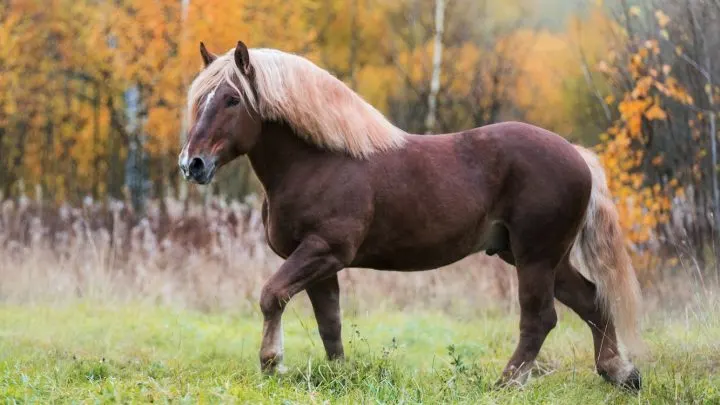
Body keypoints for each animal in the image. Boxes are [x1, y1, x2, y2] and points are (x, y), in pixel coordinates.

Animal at [178, 40, 643, 391]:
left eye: (232, 99)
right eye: (199, 99)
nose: (192, 164)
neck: (320, 160)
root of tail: (578, 156)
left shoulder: (323, 251)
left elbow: (271, 295)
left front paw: (272, 362)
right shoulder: (320, 263)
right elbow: (330, 323)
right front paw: (339, 375)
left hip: (535, 258)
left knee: (540, 318)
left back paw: (507, 383)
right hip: (541, 258)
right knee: (591, 300)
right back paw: (620, 374)